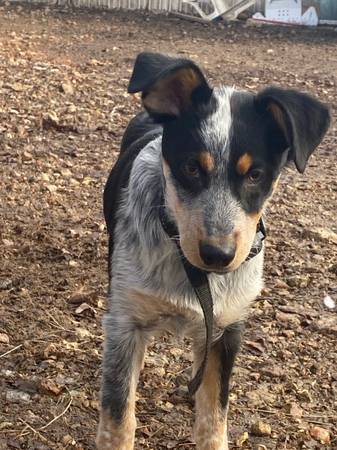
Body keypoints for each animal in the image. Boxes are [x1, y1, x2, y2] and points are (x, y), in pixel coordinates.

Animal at [96, 51, 328, 448]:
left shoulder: (228, 329)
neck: (193, 274)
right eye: (191, 167)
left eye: (255, 175)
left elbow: (214, 415)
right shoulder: (124, 320)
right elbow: (118, 418)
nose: (218, 254)